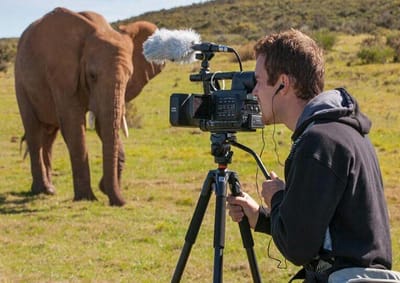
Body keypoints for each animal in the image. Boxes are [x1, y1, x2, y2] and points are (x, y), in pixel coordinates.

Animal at [14, 7, 164, 206]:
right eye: (92, 75)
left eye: (129, 76)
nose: (123, 202)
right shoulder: (61, 75)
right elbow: (74, 125)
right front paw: (87, 198)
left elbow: (104, 122)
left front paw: (104, 188)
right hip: (20, 81)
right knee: (33, 131)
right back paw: (40, 190)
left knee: (49, 134)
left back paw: (49, 190)